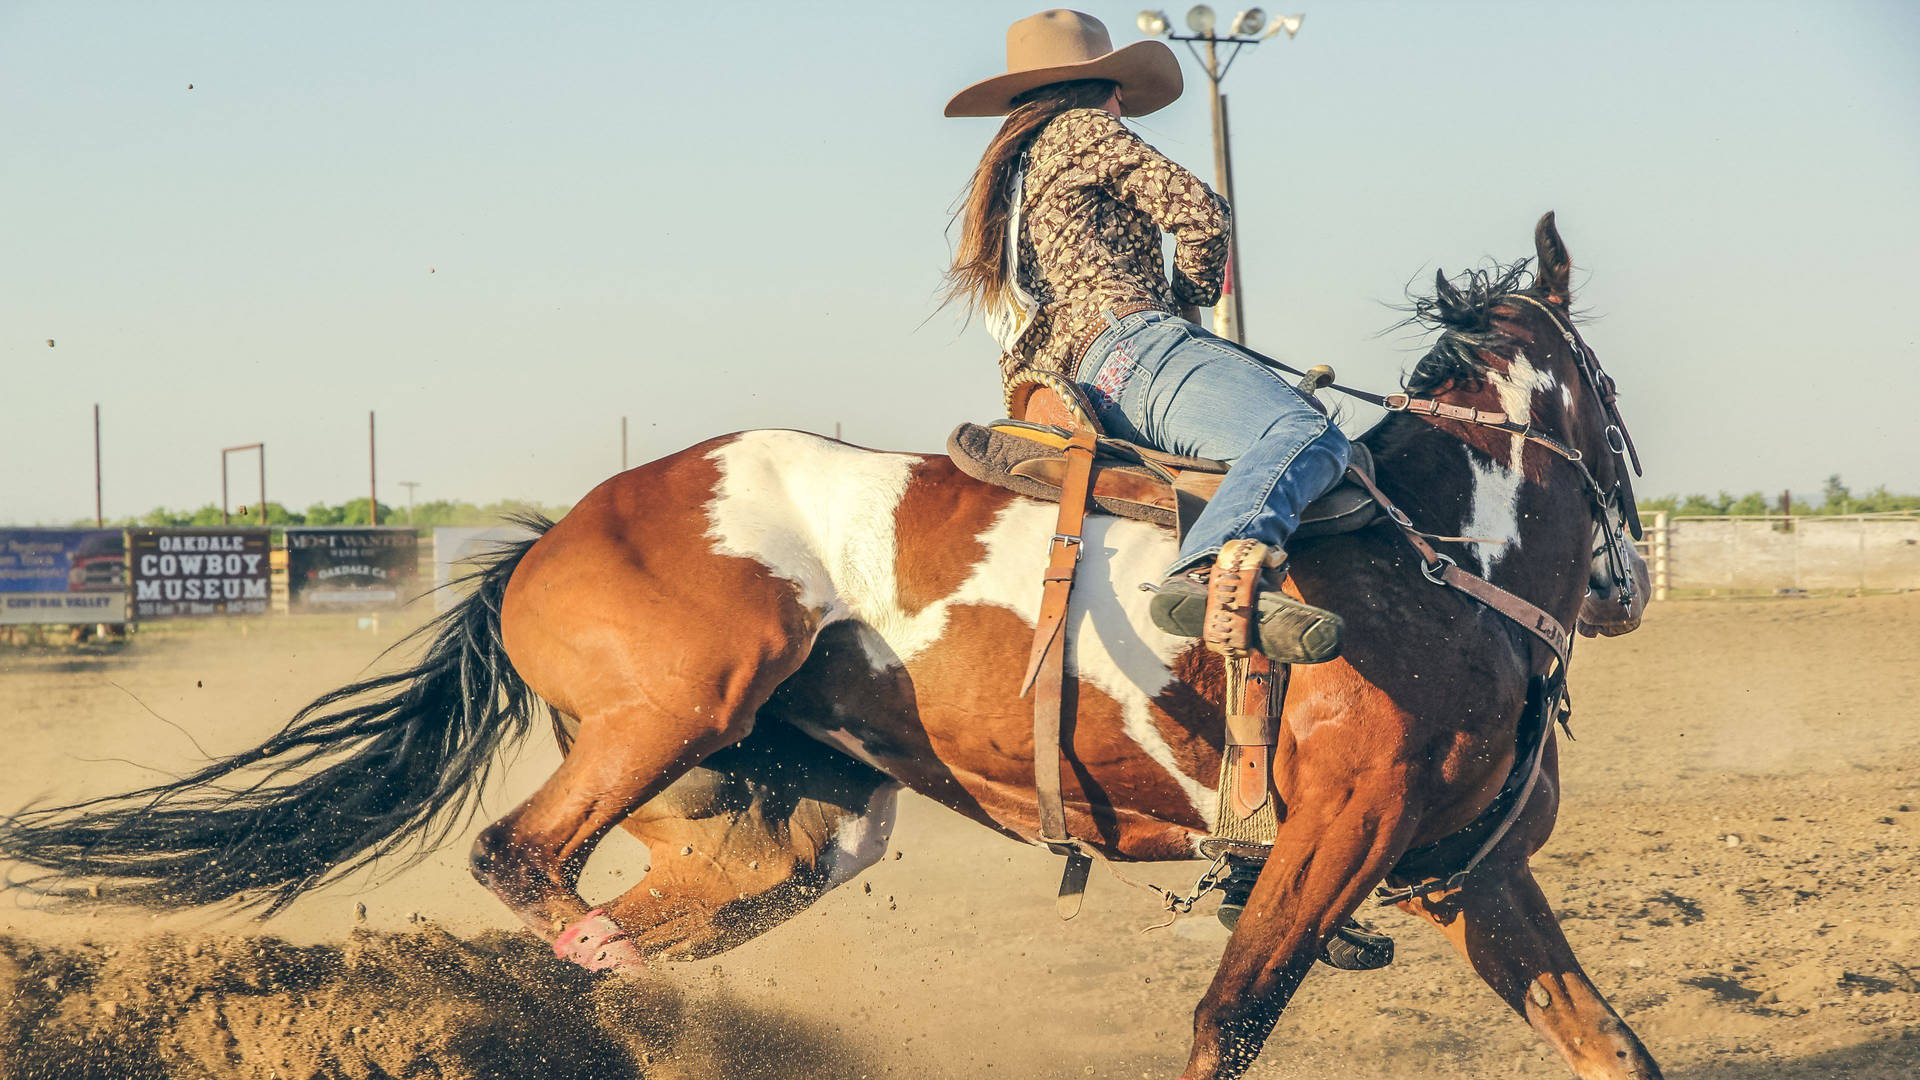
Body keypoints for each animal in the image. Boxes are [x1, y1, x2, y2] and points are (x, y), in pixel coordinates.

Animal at [3, 214, 1651, 1068]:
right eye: (1619, 395)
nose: (1629, 579)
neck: (1439, 561)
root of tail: (547, 540)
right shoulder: (1331, 839)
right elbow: (1228, 1017)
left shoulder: (1467, 873)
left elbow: (1602, 1040)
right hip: (673, 705)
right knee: (517, 861)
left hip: (782, 827)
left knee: (611, 926)